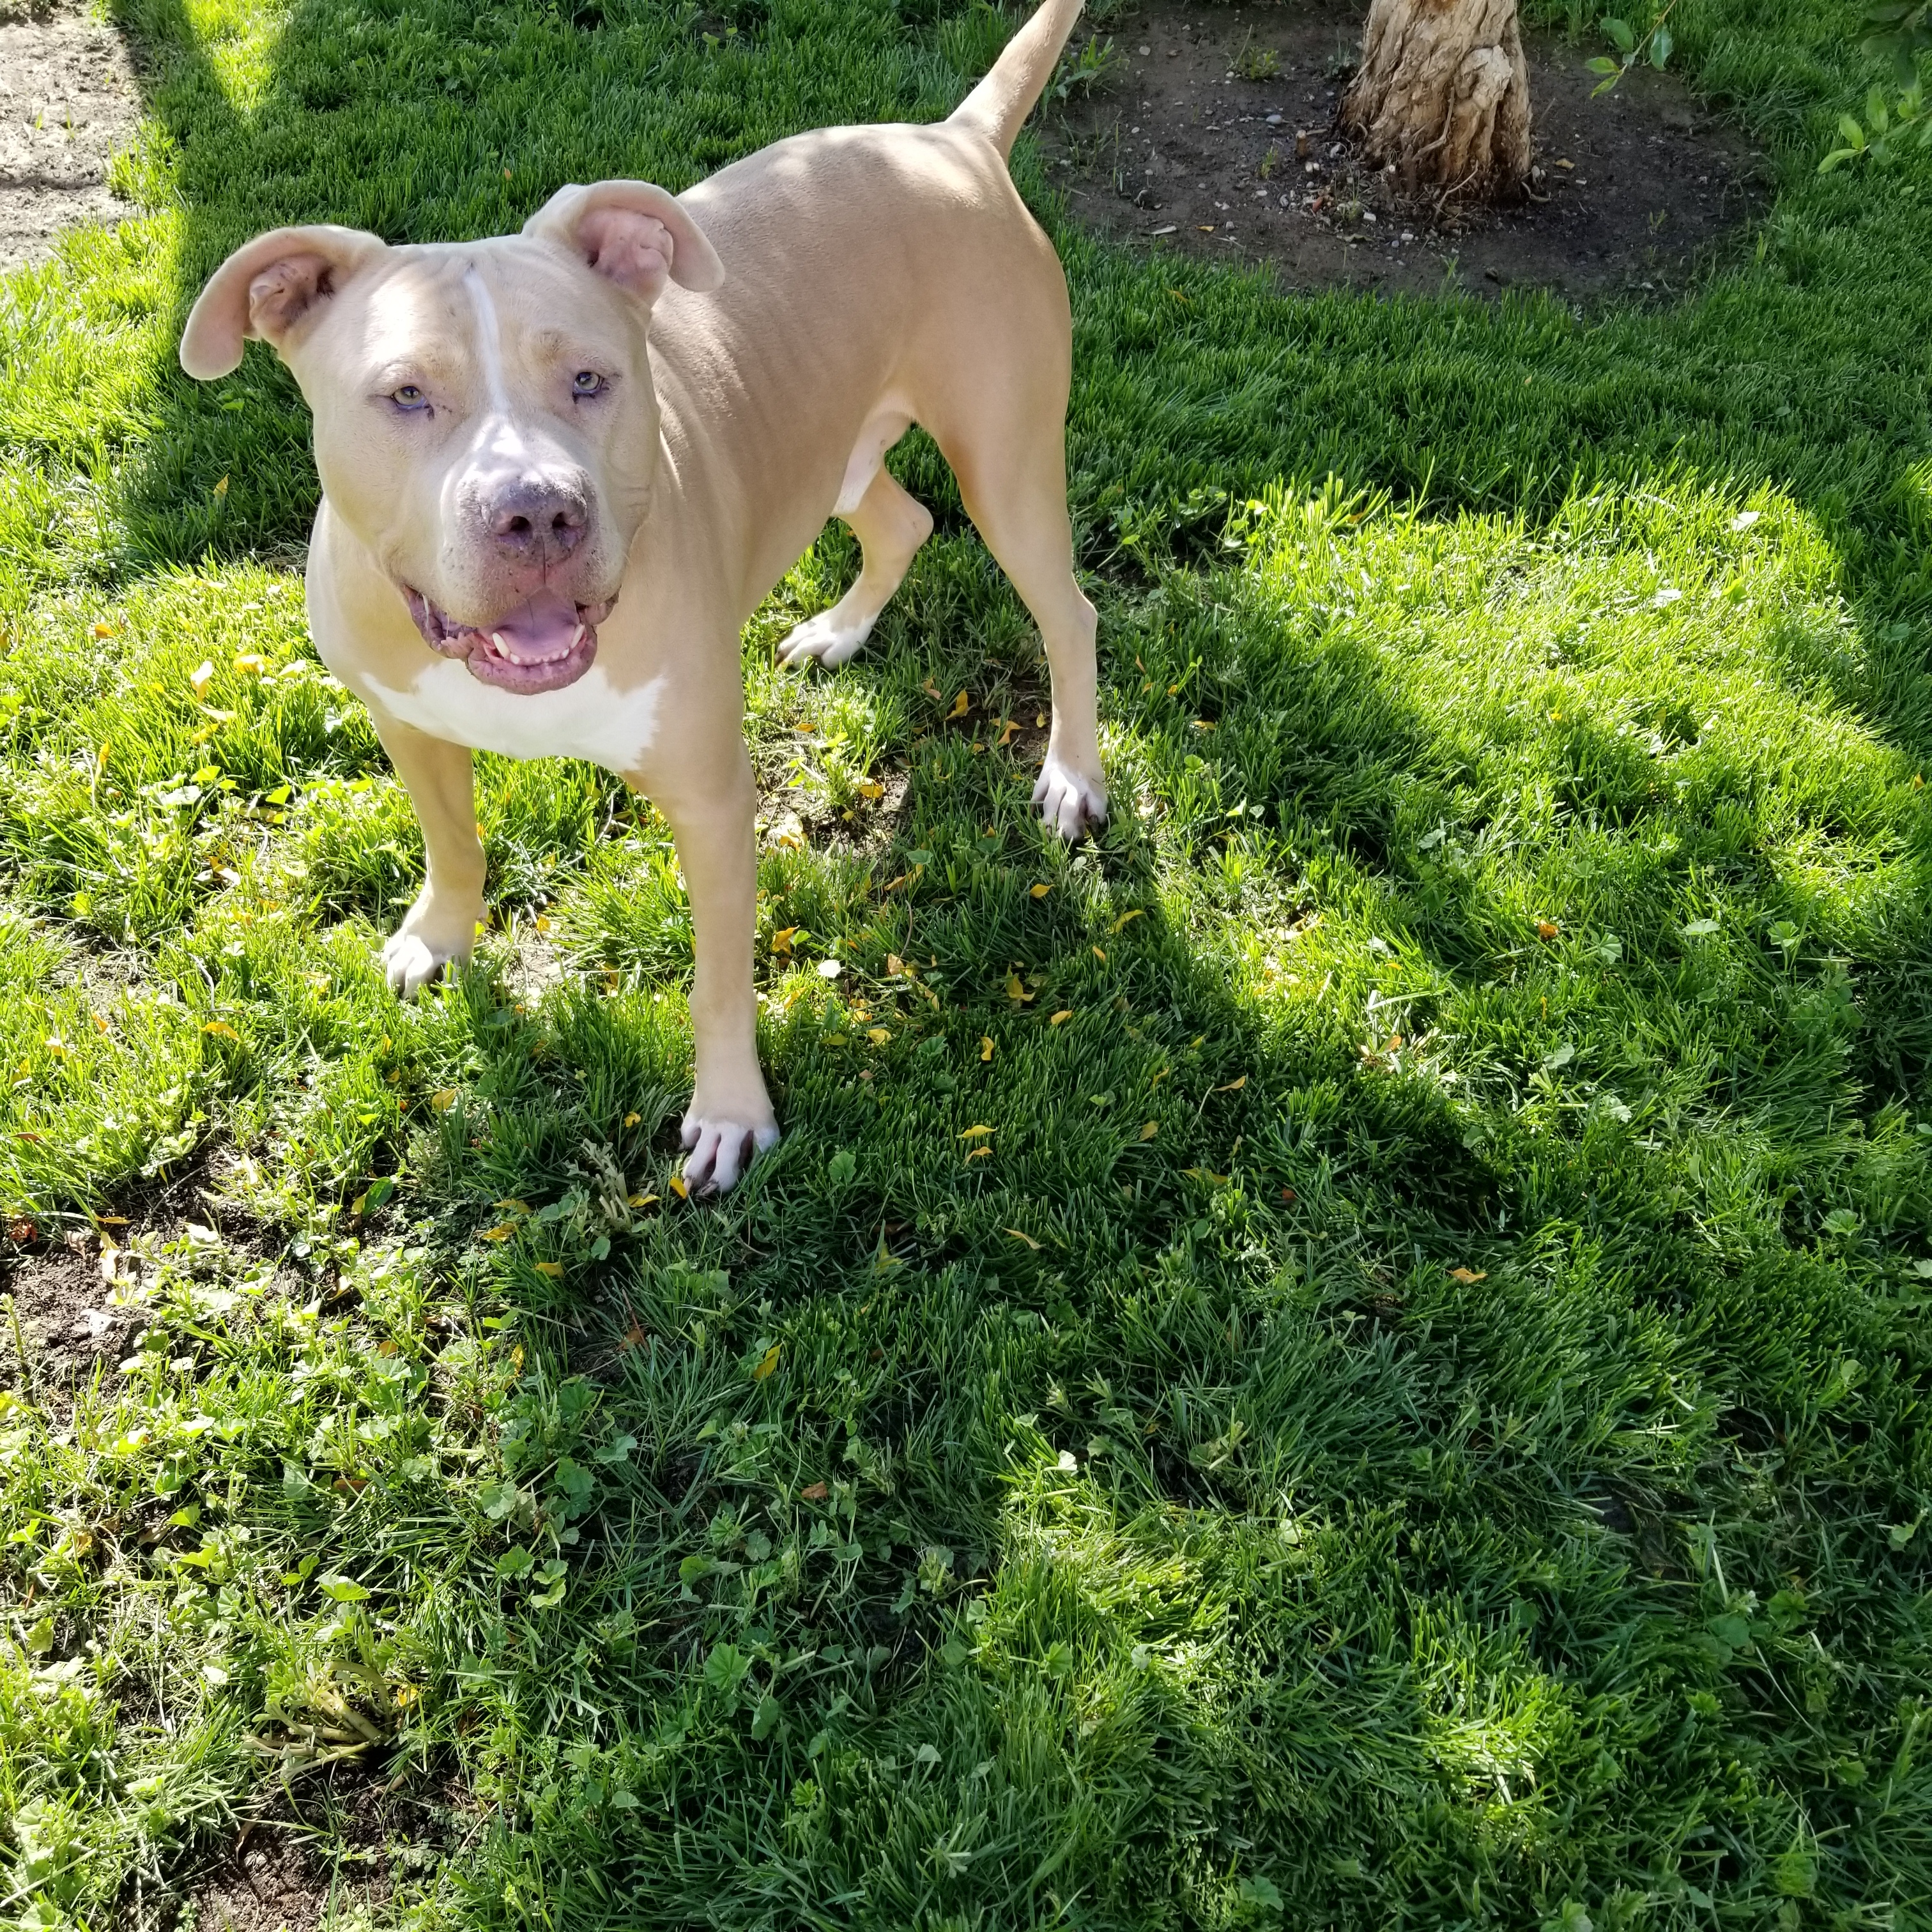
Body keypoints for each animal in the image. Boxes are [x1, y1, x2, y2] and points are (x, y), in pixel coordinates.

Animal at [186, 0, 1112, 1190]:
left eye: (590, 379)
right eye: (405, 396)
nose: (536, 513)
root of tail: (951, 139)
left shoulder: (711, 801)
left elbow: (717, 981)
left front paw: (729, 1113)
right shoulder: (405, 723)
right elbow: (453, 842)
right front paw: (440, 937)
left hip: (1004, 463)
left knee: (1067, 611)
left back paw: (1070, 775)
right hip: (835, 450)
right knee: (903, 522)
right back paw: (839, 631)